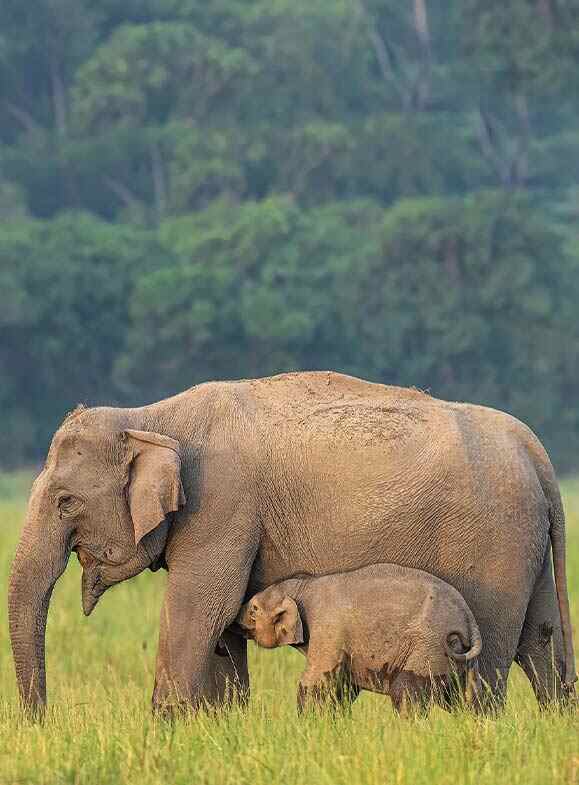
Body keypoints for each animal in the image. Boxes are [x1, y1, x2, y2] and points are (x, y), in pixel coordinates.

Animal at [236, 564, 484, 716]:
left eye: (254, 609)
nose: (236, 619)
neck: (301, 587)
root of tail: (468, 617)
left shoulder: (327, 628)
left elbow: (315, 681)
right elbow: (344, 687)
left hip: (429, 647)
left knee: (406, 695)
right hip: (457, 658)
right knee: (461, 699)